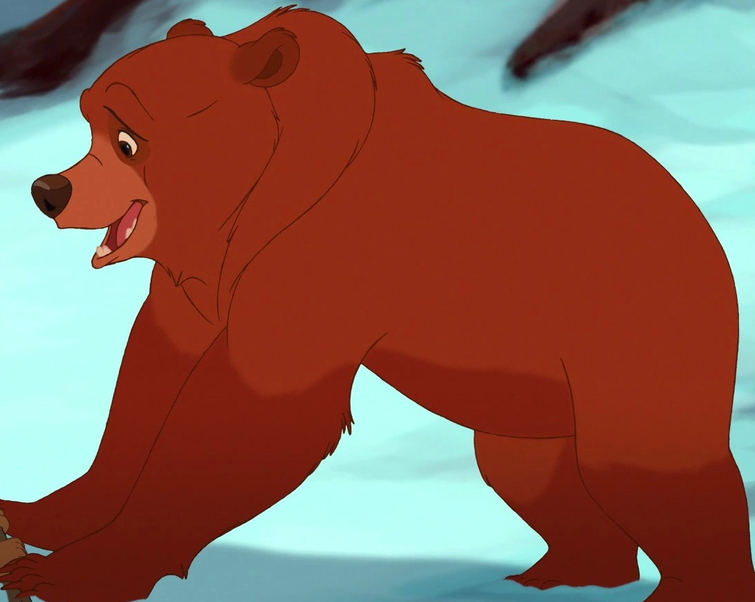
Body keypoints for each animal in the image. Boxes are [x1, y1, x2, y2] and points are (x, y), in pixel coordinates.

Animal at [1, 6, 753, 602]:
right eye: (89, 124)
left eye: (128, 137)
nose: (48, 190)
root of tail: (696, 216)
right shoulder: (206, 282)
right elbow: (149, 381)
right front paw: (33, 515)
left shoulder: (324, 257)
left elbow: (254, 414)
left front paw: (68, 573)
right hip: (527, 389)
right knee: (526, 470)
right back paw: (559, 574)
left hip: (633, 327)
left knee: (640, 461)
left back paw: (687, 588)